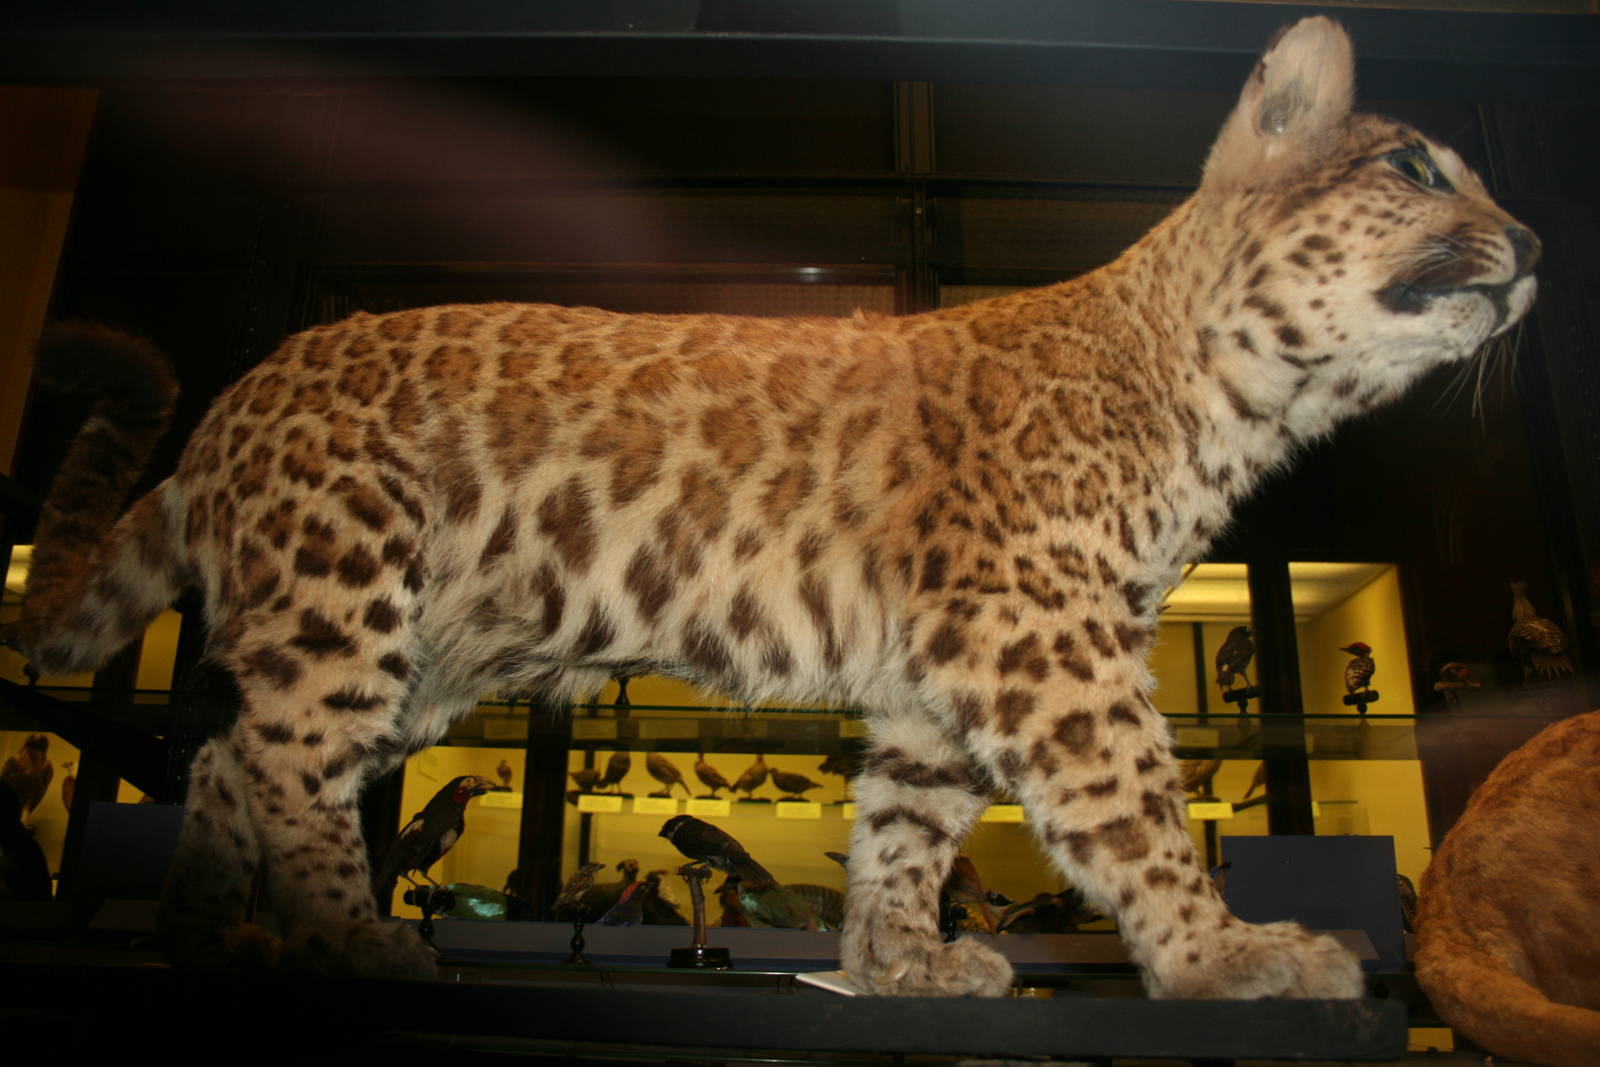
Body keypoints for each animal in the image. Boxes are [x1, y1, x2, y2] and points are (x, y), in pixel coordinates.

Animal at [17, 17, 1536, 994]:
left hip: (425, 650)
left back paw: (222, 942)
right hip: (345, 585)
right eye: (1416, 169)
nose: (1532, 244)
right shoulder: (1042, 633)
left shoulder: (947, 670)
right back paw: (352, 942)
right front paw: (1226, 954)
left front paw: (900, 961)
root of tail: (233, 399)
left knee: (235, 755)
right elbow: (1130, 797)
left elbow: (908, 827)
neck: (1229, 399)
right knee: (284, 762)